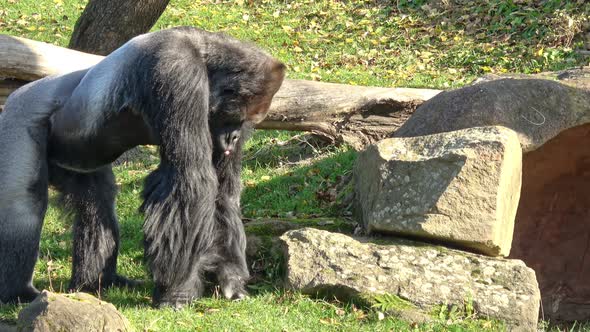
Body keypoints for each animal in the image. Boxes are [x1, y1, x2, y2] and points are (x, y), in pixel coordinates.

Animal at [0, 27, 286, 308]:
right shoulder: (177, 70)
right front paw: (178, 291)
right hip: (19, 116)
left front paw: (231, 276)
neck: (205, 53)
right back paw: (19, 292)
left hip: (73, 157)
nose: (234, 138)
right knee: (24, 205)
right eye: (234, 118)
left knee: (97, 201)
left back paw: (98, 282)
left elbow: (223, 191)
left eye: (244, 122)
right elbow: (191, 180)